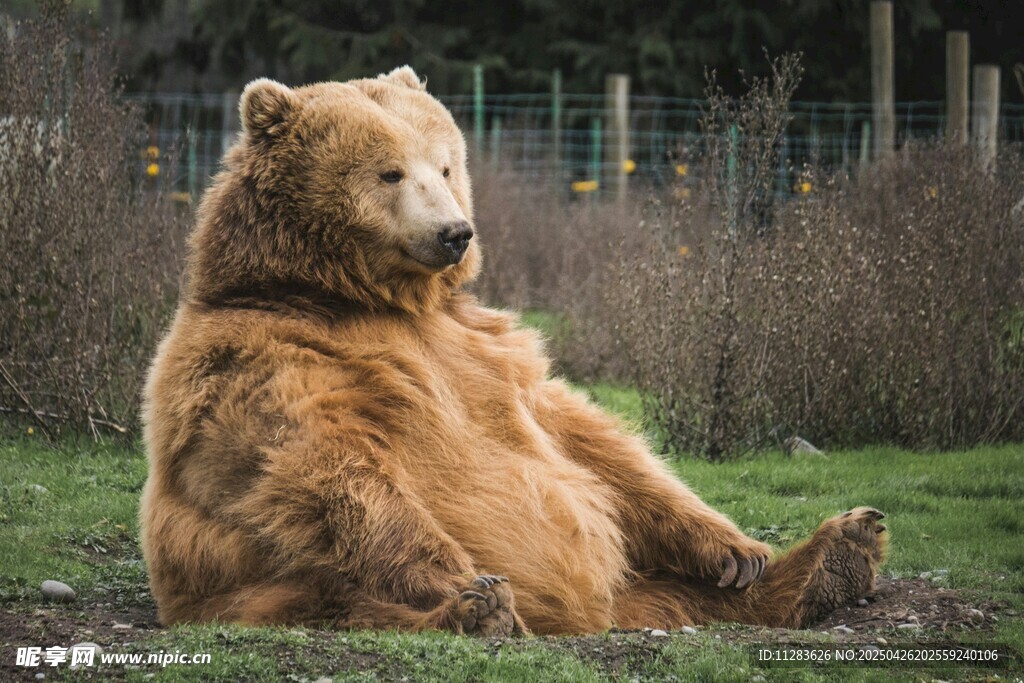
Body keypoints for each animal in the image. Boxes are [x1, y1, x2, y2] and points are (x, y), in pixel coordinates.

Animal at [139, 65, 886, 636]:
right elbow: (326, 466)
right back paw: (479, 610)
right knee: (342, 597)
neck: (362, 297)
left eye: (445, 164)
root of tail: (592, 615)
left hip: (638, 583)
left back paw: (834, 554)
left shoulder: (485, 349)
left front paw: (736, 549)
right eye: (389, 173)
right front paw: (466, 582)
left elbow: (588, 439)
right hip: (256, 585)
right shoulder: (266, 358)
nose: (454, 232)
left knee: (680, 592)